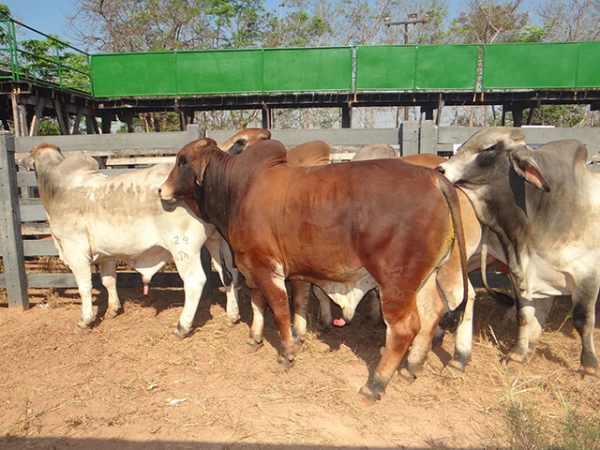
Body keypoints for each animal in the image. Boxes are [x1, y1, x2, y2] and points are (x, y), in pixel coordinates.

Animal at [162, 138, 472, 400]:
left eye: (182, 161)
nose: (160, 189)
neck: (237, 190)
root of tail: (434, 178)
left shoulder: (266, 267)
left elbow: (279, 308)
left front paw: (286, 353)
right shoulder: (259, 268)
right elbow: (268, 303)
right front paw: (259, 339)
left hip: (396, 282)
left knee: (404, 328)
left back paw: (375, 384)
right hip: (425, 277)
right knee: (432, 314)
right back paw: (411, 368)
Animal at [436, 126, 600, 376]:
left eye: (490, 148)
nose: (440, 169)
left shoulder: (587, 274)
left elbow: (582, 319)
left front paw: (589, 366)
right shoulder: (521, 272)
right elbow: (525, 315)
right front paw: (518, 354)